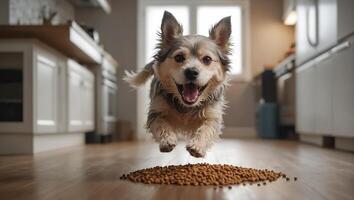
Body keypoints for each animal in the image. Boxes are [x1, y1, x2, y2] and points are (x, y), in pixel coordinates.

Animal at [125, 10, 232, 158]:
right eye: (179, 57)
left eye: (207, 59)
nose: (191, 72)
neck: (186, 106)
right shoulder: (155, 112)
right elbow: (161, 124)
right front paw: (167, 140)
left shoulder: (213, 116)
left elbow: (206, 129)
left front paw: (197, 146)